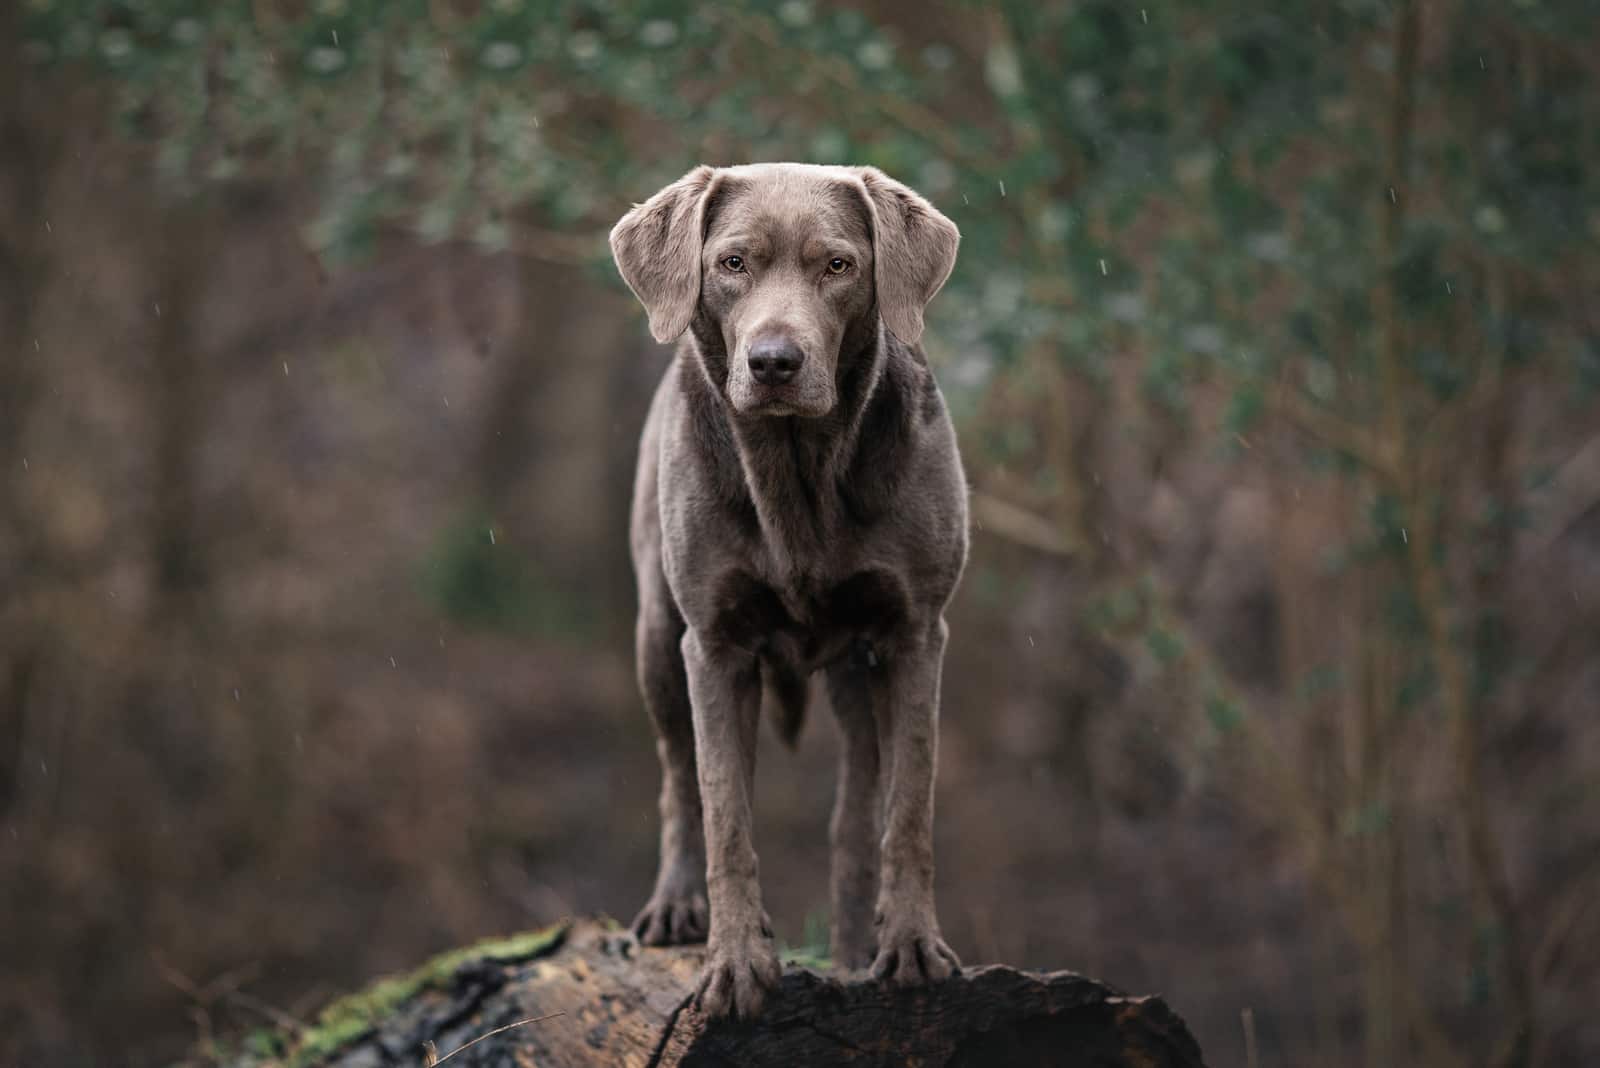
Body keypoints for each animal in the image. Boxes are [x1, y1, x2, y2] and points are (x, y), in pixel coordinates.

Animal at [608, 160, 960, 1016]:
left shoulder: (914, 634)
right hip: (656, 635)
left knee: (855, 814)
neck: (798, 470)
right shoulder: (715, 644)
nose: (773, 362)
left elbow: (907, 808)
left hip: (857, 672)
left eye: (838, 265)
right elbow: (724, 810)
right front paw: (735, 965)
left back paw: (854, 951)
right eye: (732, 263)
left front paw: (911, 948)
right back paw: (675, 909)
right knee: (678, 778)